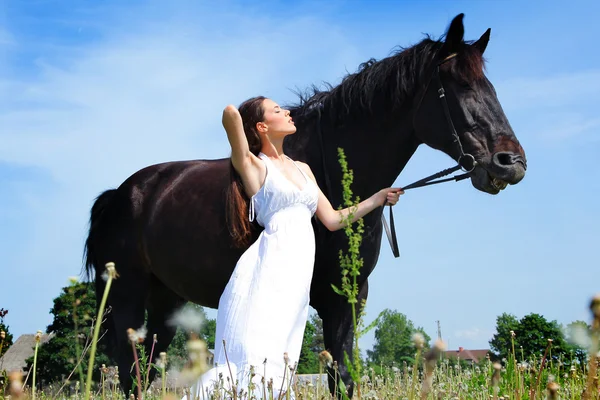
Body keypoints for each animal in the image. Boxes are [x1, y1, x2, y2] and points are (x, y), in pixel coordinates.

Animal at [83, 14, 524, 398]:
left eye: (491, 87)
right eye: (459, 86)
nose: (511, 162)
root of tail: (121, 194)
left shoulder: (351, 295)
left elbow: (343, 375)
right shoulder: (331, 298)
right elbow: (338, 375)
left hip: (166, 301)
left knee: (149, 366)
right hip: (128, 296)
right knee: (130, 370)